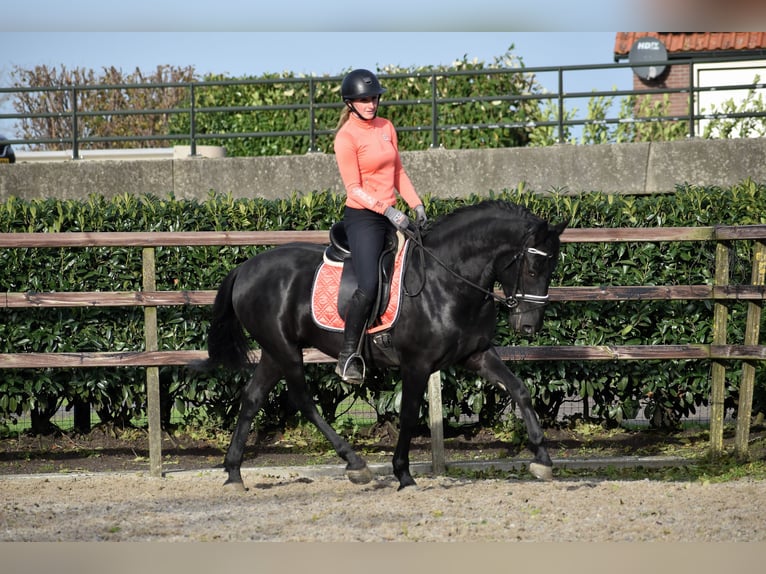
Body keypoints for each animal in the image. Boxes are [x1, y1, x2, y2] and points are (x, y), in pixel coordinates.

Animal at [195, 200, 568, 492]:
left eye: (552, 264)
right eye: (533, 265)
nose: (529, 326)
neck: (446, 279)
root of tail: (246, 267)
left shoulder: (475, 355)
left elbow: (519, 389)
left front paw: (543, 459)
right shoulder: (417, 364)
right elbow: (409, 415)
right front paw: (403, 474)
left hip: (274, 352)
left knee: (253, 397)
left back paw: (233, 473)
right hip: (284, 349)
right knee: (303, 401)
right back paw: (355, 464)